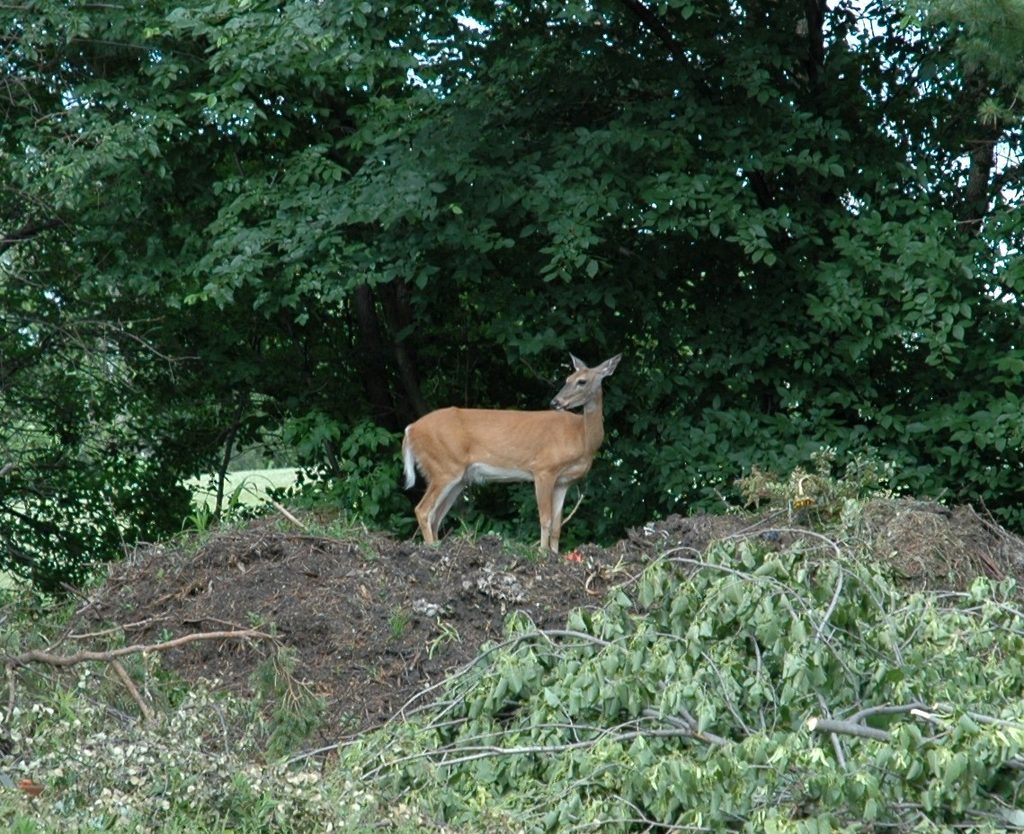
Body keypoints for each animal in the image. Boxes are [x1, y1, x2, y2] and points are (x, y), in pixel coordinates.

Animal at [401, 353, 621, 554]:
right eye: (567, 379)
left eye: (581, 381)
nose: (555, 402)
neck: (581, 438)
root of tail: (410, 430)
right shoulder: (543, 469)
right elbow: (545, 519)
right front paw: (542, 553)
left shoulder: (564, 482)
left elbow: (557, 525)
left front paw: (555, 554)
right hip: (444, 467)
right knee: (423, 510)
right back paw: (432, 549)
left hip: (457, 478)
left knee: (435, 516)